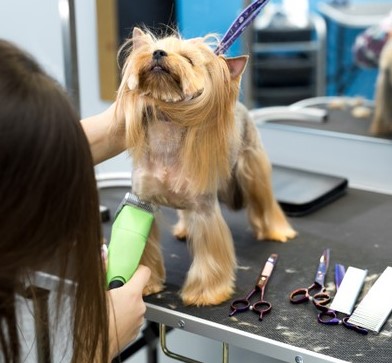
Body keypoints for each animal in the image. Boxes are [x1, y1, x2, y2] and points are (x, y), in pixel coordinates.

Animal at [115, 28, 296, 308]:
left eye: (188, 59)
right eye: (155, 47)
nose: (158, 53)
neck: (167, 136)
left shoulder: (204, 208)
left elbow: (210, 254)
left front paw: (206, 293)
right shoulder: (142, 200)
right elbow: (144, 246)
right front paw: (147, 283)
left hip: (252, 166)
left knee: (264, 200)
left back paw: (276, 231)